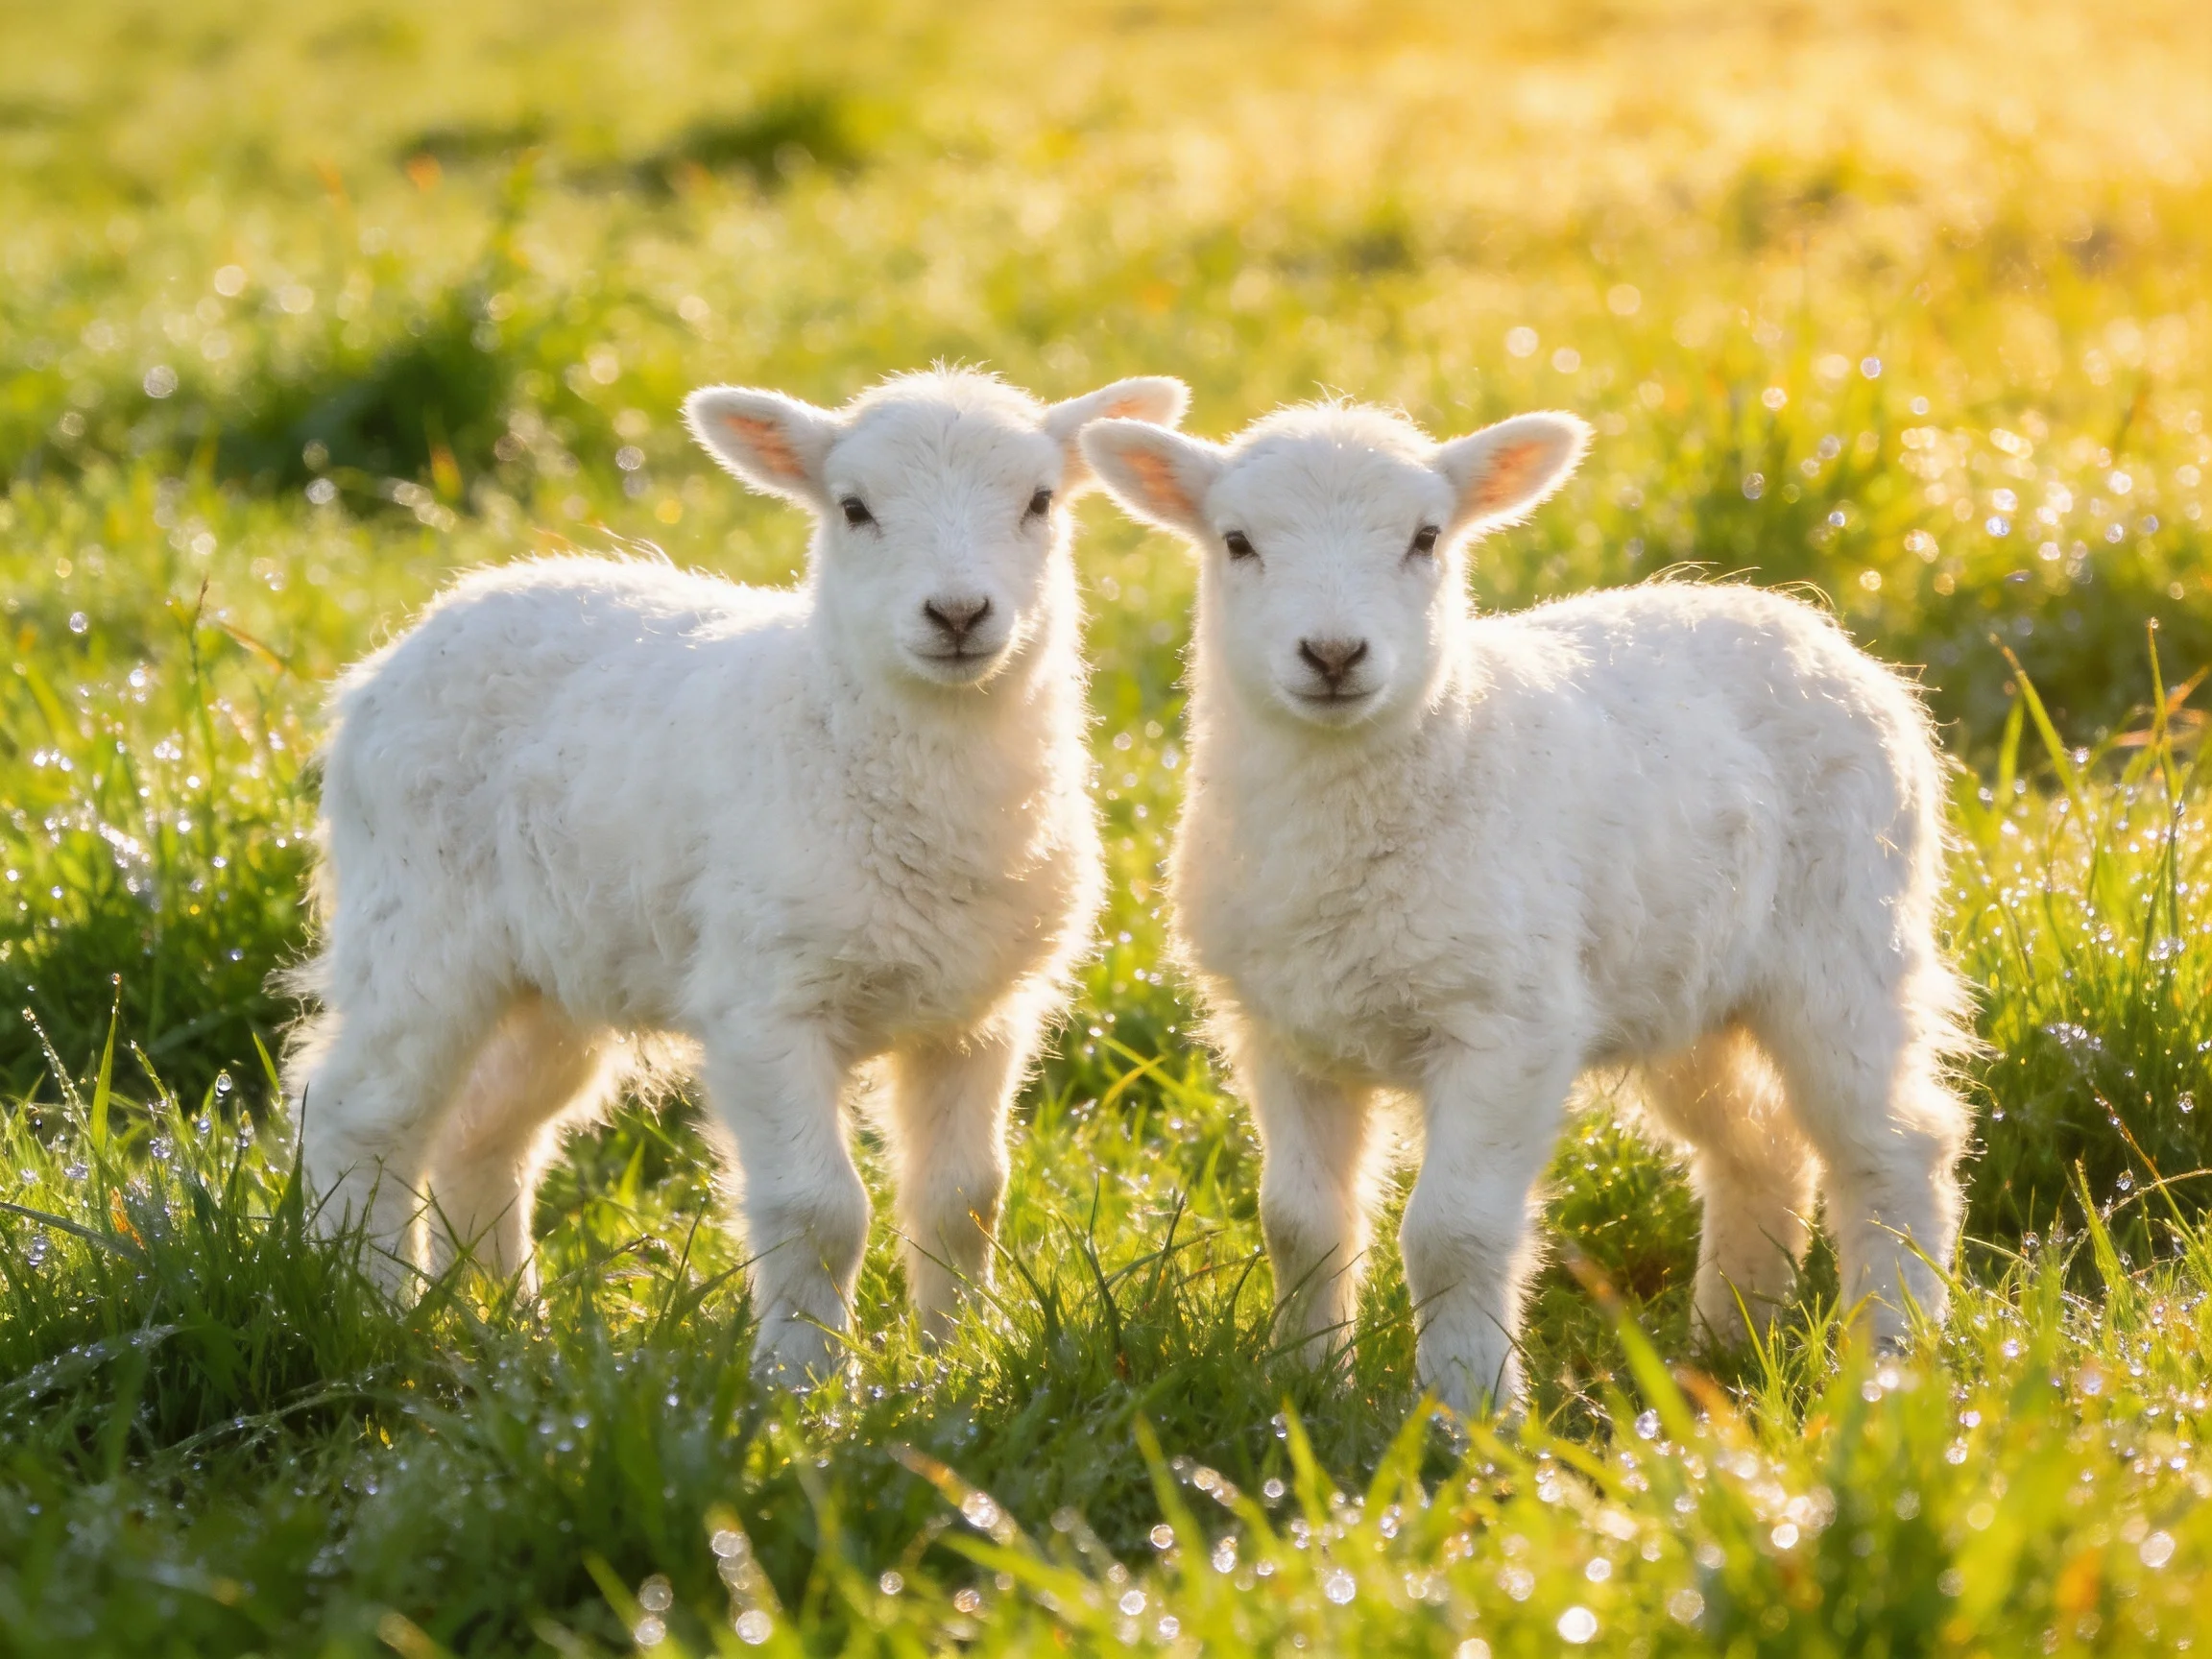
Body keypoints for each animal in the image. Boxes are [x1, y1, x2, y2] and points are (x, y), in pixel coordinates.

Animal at [288, 367, 1189, 1384]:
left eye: (1039, 501)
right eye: (854, 508)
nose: (957, 615)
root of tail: (412, 638)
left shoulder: (978, 1015)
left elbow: (964, 1199)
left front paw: (956, 1362)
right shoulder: (766, 1003)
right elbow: (820, 1210)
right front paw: (806, 1384)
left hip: (559, 970)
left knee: (486, 1134)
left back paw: (506, 1322)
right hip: (418, 924)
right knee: (362, 1113)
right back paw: (369, 1310)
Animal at [1082, 400, 1973, 1413]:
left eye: (1426, 538)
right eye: (1236, 542)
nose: (1334, 655)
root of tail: (1800, 618)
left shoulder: (1508, 1026)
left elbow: (1451, 1231)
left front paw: (1468, 1411)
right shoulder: (1283, 1035)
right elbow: (1298, 1223)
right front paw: (1304, 1388)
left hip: (1848, 940)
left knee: (1895, 1147)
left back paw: (1891, 1360)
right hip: (1683, 984)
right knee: (1761, 1148)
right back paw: (1727, 1348)